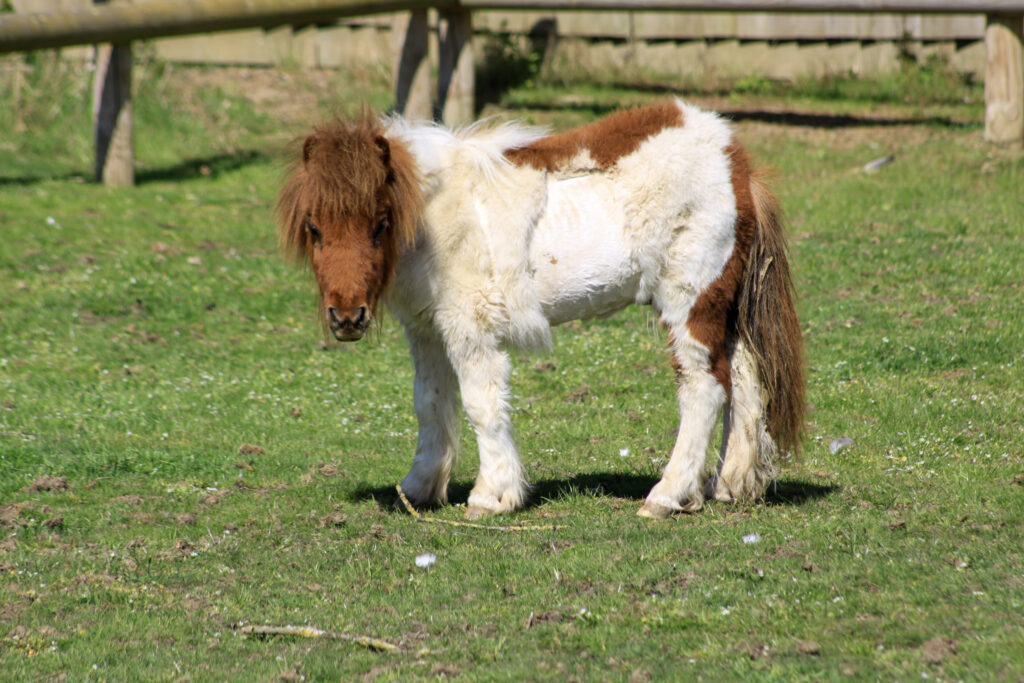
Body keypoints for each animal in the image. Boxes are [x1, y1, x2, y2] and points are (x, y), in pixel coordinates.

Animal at [277, 99, 805, 520]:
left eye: (381, 223)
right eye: (313, 227)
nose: (347, 318)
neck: (435, 218)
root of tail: (736, 164)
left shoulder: (472, 330)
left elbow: (481, 405)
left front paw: (491, 497)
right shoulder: (426, 330)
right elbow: (430, 403)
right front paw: (419, 490)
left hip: (690, 304)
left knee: (703, 388)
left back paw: (667, 496)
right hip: (723, 308)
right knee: (745, 379)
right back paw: (729, 486)